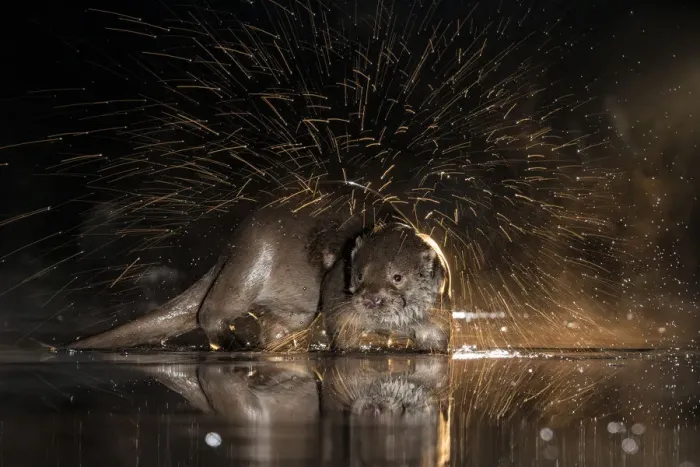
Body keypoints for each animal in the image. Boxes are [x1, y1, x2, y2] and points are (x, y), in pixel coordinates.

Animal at [68, 205, 451, 351]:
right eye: (358, 275)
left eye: (397, 277)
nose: (371, 298)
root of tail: (232, 245)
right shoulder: (340, 308)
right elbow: (343, 333)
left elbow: (433, 332)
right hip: (250, 265)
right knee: (210, 312)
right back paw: (235, 343)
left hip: (297, 310)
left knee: (274, 324)